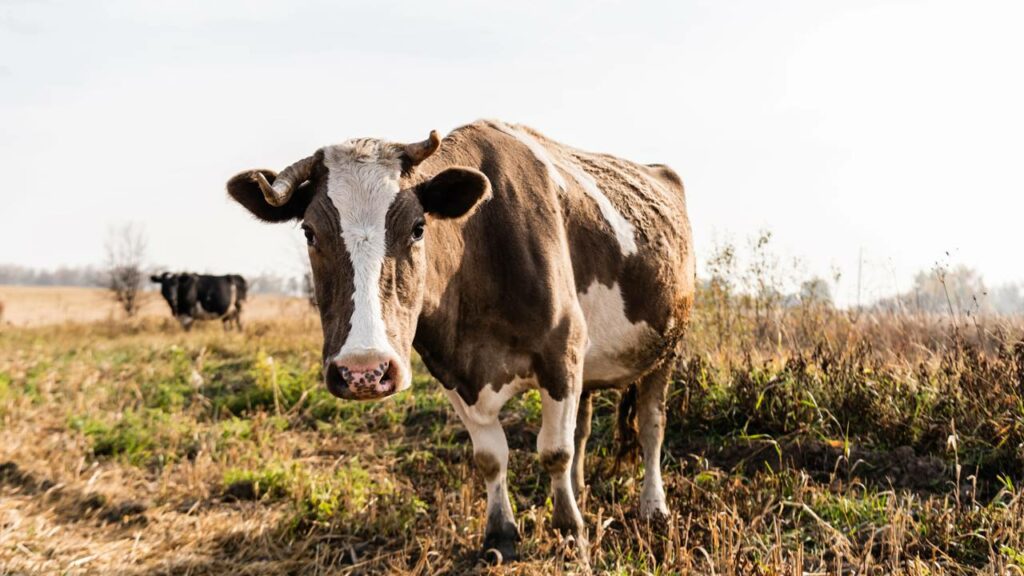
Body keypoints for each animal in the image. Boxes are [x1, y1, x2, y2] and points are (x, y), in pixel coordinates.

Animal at [226, 120, 695, 562]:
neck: (479, 251)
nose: (364, 371)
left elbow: (554, 451)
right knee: (583, 425)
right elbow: (491, 457)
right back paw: (581, 489)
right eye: (309, 232)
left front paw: (570, 534)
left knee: (651, 425)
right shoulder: (451, 369)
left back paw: (653, 507)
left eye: (418, 228)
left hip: (667, 348)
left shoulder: (561, 352)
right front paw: (501, 535)